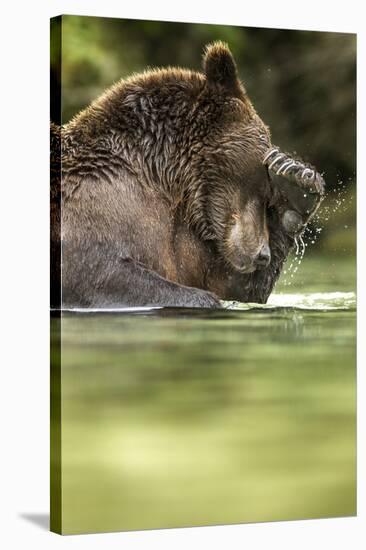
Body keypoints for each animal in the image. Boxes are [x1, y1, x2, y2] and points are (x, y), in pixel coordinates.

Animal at [50, 42, 324, 310]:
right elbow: (101, 274)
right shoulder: (95, 211)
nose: (262, 255)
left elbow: (231, 284)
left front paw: (297, 183)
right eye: (263, 187)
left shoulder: (189, 240)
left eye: (270, 198)